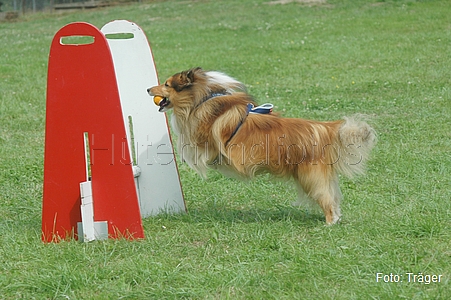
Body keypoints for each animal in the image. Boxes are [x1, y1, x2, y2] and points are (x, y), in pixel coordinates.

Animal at [147, 67, 376, 223]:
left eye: (167, 84)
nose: (148, 88)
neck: (203, 98)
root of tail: (322, 128)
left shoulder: (204, 136)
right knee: (333, 198)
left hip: (310, 177)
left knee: (326, 199)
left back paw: (329, 222)